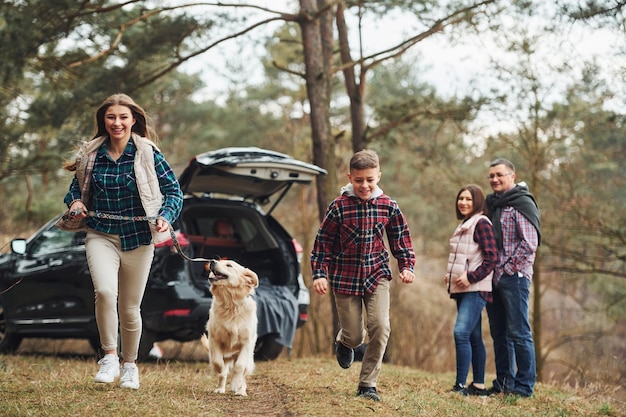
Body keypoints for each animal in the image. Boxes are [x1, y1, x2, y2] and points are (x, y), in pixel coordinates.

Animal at [201, 258, 258, 394]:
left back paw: (241, 390)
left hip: (249, 359)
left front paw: (236, 384)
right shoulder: (214, 340)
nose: (212, 261)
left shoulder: (246, 343)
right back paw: (220, 389)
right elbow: (218, 363)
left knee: (244, 374)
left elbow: (239, 367)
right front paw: (221, 372)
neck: (230, 304)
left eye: (229, 265)